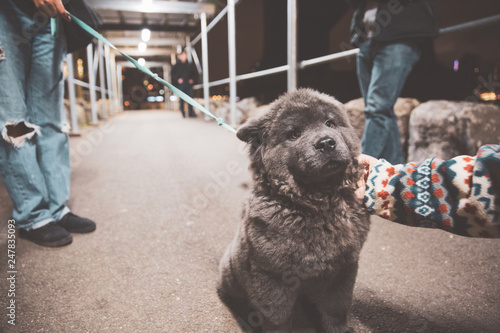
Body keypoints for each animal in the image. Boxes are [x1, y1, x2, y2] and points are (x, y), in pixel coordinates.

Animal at [219, 89, 372, 332]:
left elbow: (336, 309)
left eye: (330, 123)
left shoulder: (343, 268)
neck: (320, 204)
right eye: (294, 134)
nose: (326, 143)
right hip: (231, 273)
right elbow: (277, 318)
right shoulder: (272, 276)